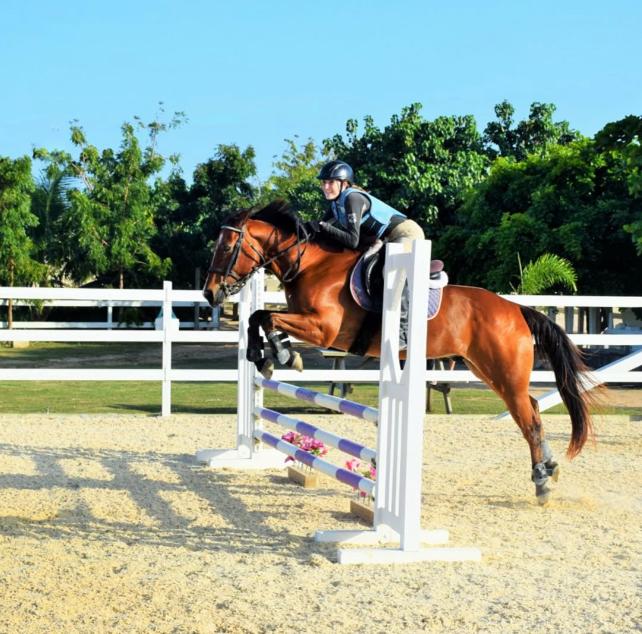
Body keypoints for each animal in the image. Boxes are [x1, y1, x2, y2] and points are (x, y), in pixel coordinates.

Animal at [203, 200, 596, 504]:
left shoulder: (323, 328)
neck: (312, 264)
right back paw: (549, 469)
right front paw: (269, 356)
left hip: (503, 371)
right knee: (531, 409)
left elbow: (264, 316)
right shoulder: (309, 323)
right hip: (487, 369)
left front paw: (280, 356)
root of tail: (515, 309)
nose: (209, 294)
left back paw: (542, 482)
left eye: (227, 247)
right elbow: (260, 317)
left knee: (528, 419)